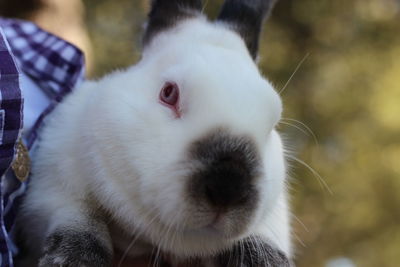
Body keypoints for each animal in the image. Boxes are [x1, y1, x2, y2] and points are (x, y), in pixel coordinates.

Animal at [15, 0, 292, 266]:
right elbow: (75, 215)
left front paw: (267, 261)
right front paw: (75, 259)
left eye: (272, 122)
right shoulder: (53, 181)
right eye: (169, 93)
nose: (227, 188)